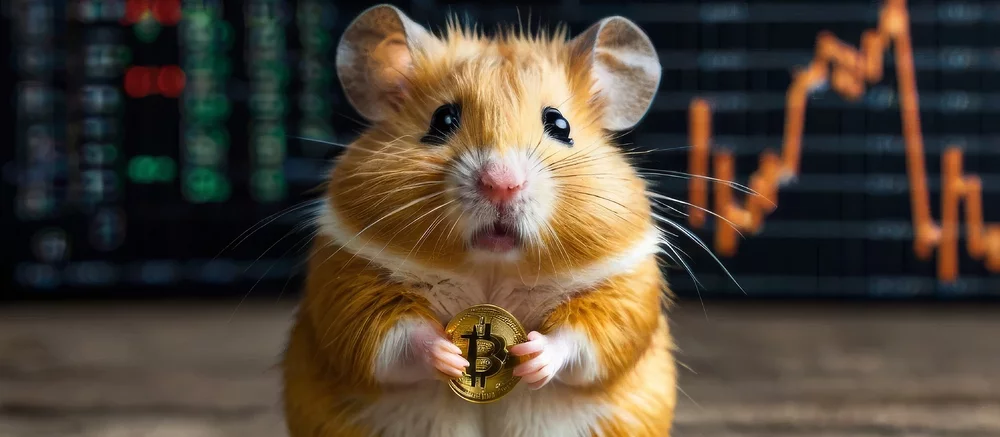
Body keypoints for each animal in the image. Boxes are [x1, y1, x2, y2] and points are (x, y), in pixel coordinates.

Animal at [282, 4, 676, 437]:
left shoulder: (625, 286)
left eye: (560, 125)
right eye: (442, 119)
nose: (501, 184)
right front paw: (450, 355)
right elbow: (390, 335)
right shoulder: (348, 279)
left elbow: (588, 337)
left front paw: (531, 354)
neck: (491, 268)